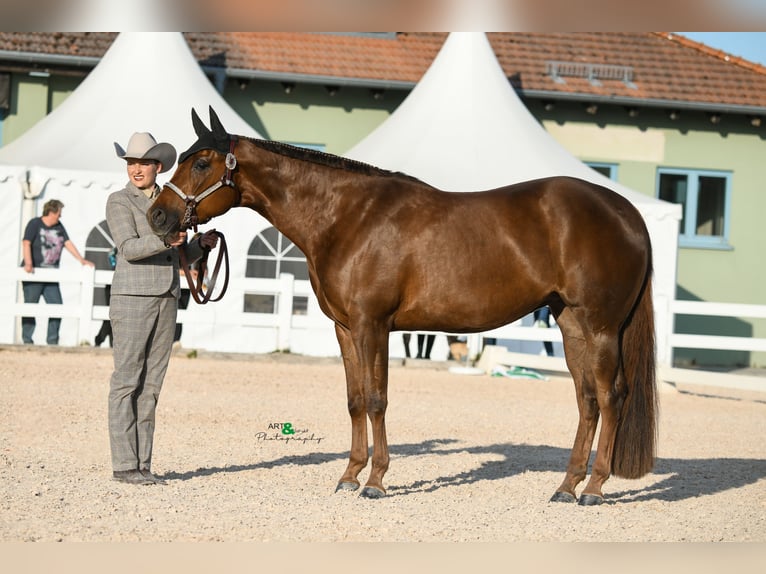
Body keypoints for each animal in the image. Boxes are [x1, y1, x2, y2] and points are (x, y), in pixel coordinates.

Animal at [149, 107, 657, 506]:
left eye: (202, 162)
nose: (157, 215)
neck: (347, 217)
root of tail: (627, 213)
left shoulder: (372, 324)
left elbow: (377, 399)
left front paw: (375, 482)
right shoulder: (345, 328)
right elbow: (355, 400)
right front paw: (349, 476)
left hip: (601, 327)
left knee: (611, 396)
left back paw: (594, 488)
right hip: (570, 324)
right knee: (586, 400)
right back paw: (566, 487)